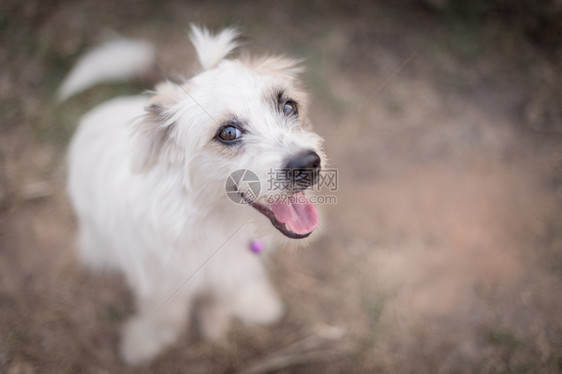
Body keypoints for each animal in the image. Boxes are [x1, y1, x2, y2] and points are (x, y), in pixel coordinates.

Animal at [62, 26, 324, 366]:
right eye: (228, 133)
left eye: (289, 106)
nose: (308, 164)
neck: (212, 220)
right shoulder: (159, 280)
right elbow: (165, 314)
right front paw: (145, 341)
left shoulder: (234, 266)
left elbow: (230, 288)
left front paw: (242, 308)